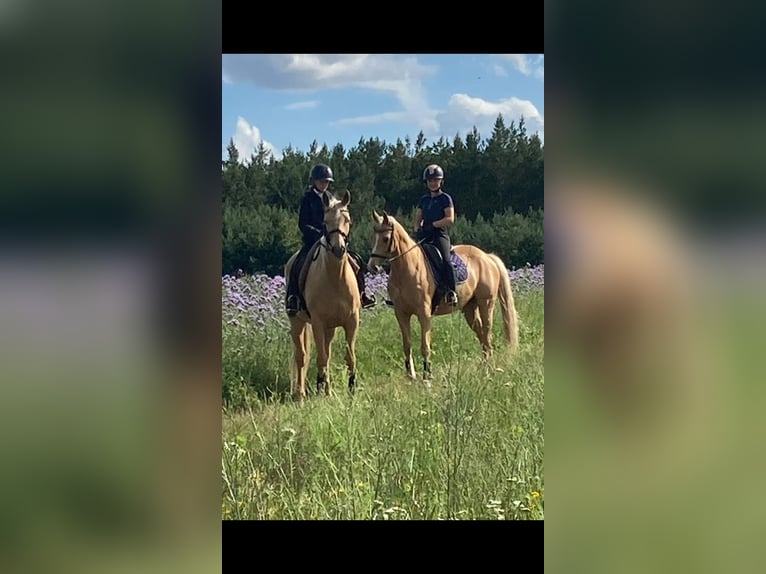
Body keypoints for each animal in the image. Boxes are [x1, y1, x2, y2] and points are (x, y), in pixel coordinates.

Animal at [284, 191, 364, 402]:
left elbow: (349, 357)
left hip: (330, 328)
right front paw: (319, 389)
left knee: (325, 353)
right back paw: (301, 394)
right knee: (302, 356)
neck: (335, 278)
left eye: (348, 220)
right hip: (297, 322)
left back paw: (327, 391)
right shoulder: (318, 323)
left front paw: (352, 389)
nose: (338, 249)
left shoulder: (351, 321)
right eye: (325, 221)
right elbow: (320, 358)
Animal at [368, 212, 520, 382]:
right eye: (373, 237)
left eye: (385, 238)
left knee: (487, 335)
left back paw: (489, 371)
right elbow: (407, 346)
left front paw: (427, 378)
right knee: (481, 335)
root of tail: (487, 257)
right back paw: (484, 369)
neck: (407, 268)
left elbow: (425, 346)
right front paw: (411, 376)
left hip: (486, 303)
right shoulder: (401, 313)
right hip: (469, 309)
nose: (373, 266)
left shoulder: (424, 314)